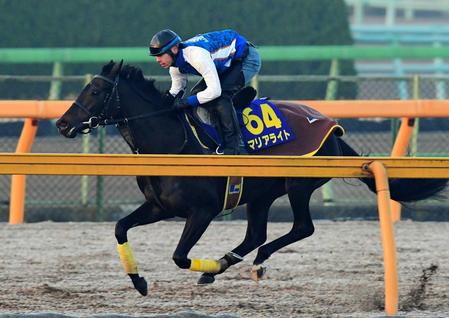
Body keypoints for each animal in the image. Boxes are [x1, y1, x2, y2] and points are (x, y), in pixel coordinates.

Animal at [55, 61, 444, 296]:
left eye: (95, 91)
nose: (61, 123)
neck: (173, 142)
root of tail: (330, 125)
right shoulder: (159, 206)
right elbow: (120, 227)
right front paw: (139, 281)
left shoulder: (203, 211)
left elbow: (180, 256)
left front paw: (205, 266)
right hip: (260, 195)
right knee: (256, 234)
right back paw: (226, 264)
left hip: (298, 184)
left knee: (301, 228)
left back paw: (254, 262)